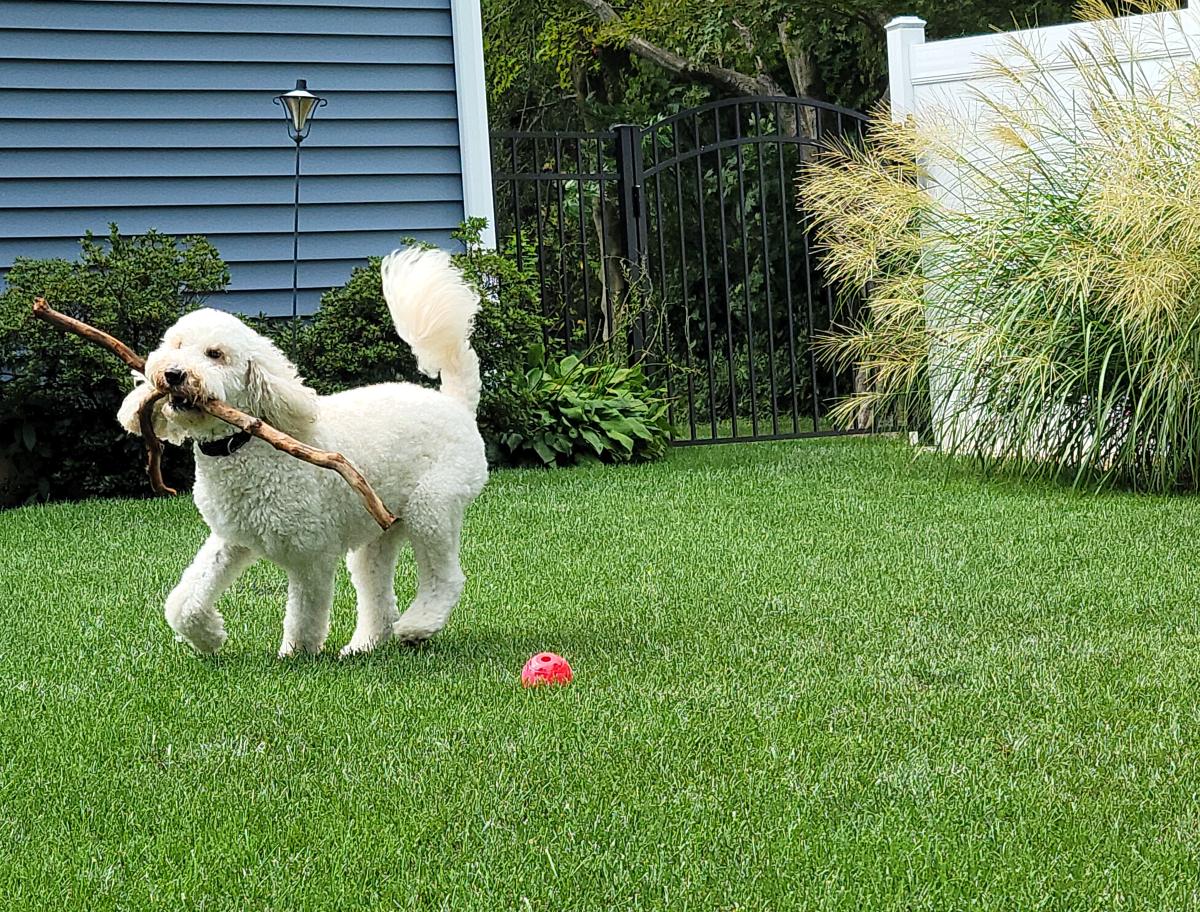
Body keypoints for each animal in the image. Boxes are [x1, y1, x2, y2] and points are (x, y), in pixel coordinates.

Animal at [113, 246, 487, 657]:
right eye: (176, 346)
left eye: (215, 354)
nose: (174, 374)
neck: (246, 444)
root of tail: (455, 403)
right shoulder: (231, 538)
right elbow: (185, 598)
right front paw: (207, 636)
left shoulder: (312, 554)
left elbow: (305, 611)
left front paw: (297, 655)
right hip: (380, 528)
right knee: (377, 592)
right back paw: (364, 645)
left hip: (431, 508)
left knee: (445, 577)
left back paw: (418, 626)